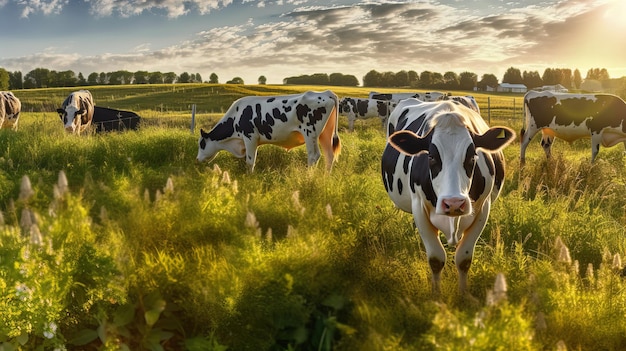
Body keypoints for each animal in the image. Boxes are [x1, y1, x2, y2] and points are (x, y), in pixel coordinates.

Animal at [196, 90, 338, 173]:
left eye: (201, 144)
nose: (197, 159)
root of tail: (326, 92)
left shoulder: (250, 137)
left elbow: (250, 161)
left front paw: (249, 178)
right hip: (325, 134)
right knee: (329, 155)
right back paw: (326, 178)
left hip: (310, 133)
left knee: (314, 156)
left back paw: (309, 177)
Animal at [378, 99, 516, 294]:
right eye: (431, 157)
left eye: (473, 157)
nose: (454, 203)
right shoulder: (419, 207)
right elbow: (436, 259)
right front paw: (436, 295)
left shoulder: (483, 209)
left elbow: (463, 260)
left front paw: (463, 295)